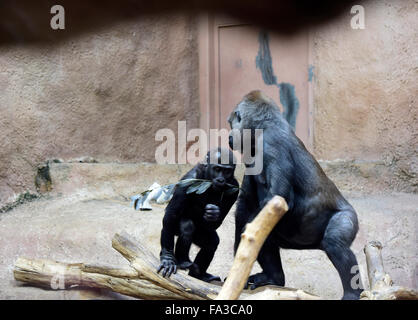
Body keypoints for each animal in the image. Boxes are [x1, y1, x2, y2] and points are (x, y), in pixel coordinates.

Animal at [158, 148, 238, 282]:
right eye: (217, 169)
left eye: (227, 171)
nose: (221, 179)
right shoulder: (187, 182)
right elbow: (171, 215)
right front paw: (167, 258)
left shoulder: (235, 188)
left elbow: (217, 222)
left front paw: (214, 213)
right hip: (175, 230)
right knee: (187, 226)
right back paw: (182, 261)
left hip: (200, 233)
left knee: (212, 243)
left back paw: (198, 274)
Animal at [229, 90, 362, 300]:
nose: (229, 137)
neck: (265, 126)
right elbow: (246, 205)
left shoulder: (272, 142)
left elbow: (277, 197)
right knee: (267, 234)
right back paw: (274, 278)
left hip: (349, 217)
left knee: (335, 243)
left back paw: (352, 293)